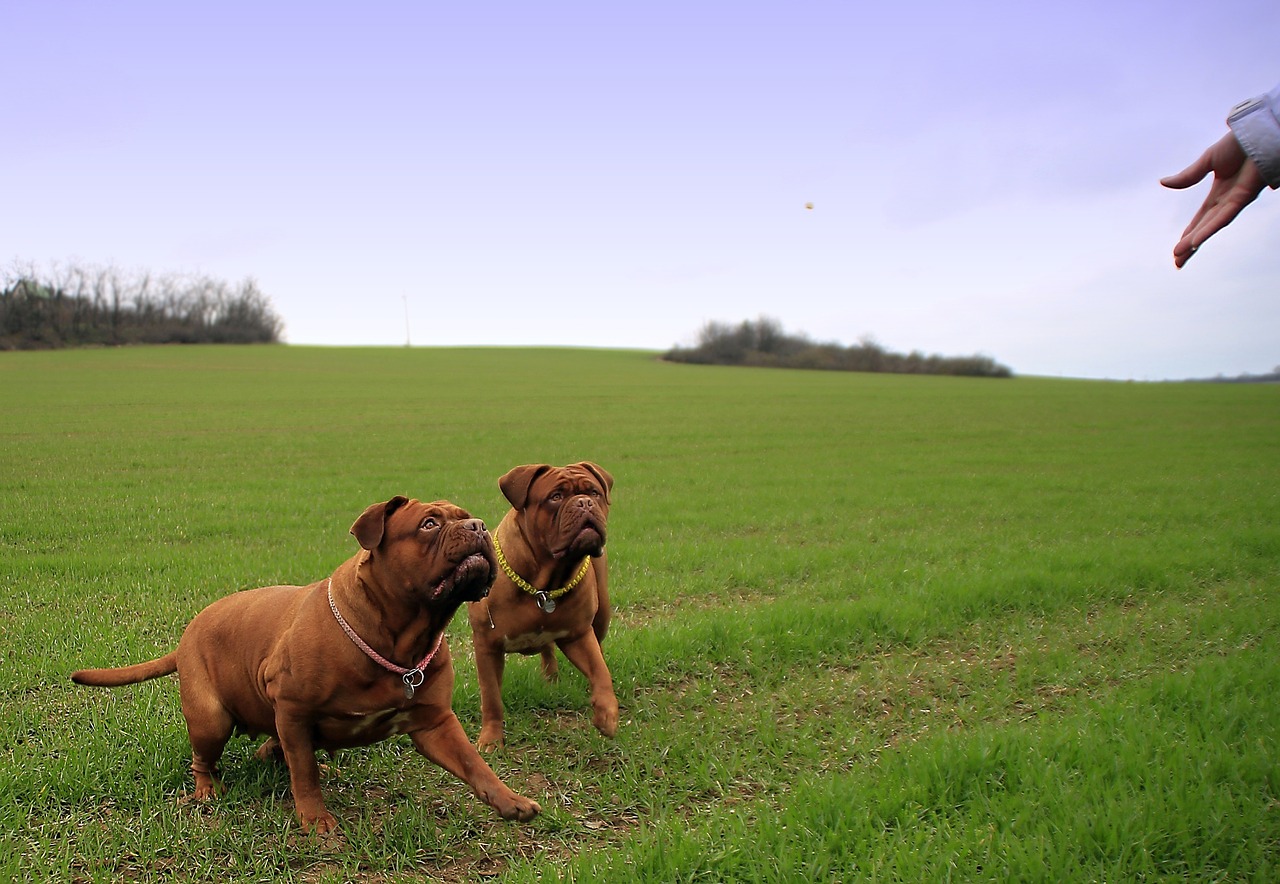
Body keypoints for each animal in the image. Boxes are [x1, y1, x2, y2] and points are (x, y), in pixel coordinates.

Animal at [70, 501, 540, 834]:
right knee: (206, 759)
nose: (478, 526)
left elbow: (475, 765)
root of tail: (189, 632)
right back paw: (207, 790)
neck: (400, 640)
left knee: (272, 749)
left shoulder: (435, 722)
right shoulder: (294, 709)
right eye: (429, 524)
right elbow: (305, 773)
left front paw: (510, 800)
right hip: (211, 718)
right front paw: (315, 819)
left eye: (468, 518)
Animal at [468, 463, 616, 752]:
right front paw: (491, 739)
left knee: (595, 646)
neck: (544, 584)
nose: (584, 502)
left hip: (602, 614)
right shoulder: (487, 645)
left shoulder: (578, 635)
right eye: (555, 497)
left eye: (594, 491)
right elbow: (491, 697)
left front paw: (606, 713)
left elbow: (600, 670)